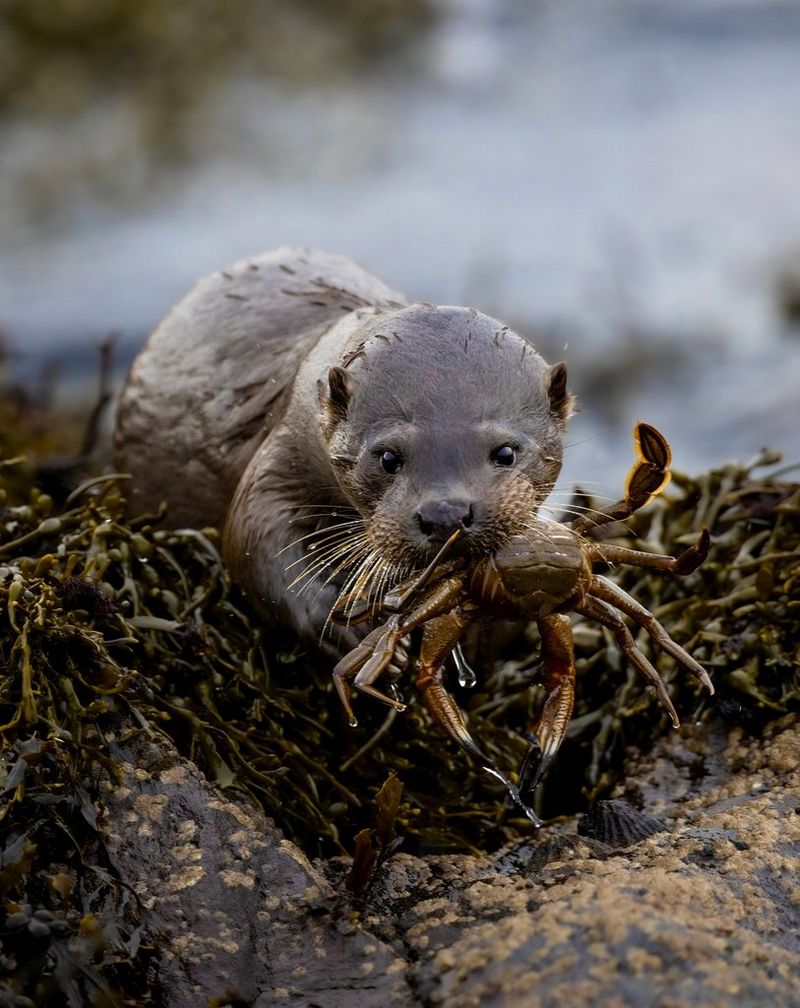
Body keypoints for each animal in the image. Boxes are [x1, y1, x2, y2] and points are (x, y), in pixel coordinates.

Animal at [115, 247, 573, 656]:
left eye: (506, 453)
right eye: (387, 458)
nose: (445, 515)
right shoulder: (282, 449)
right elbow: (252, 539)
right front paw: (336, 622)